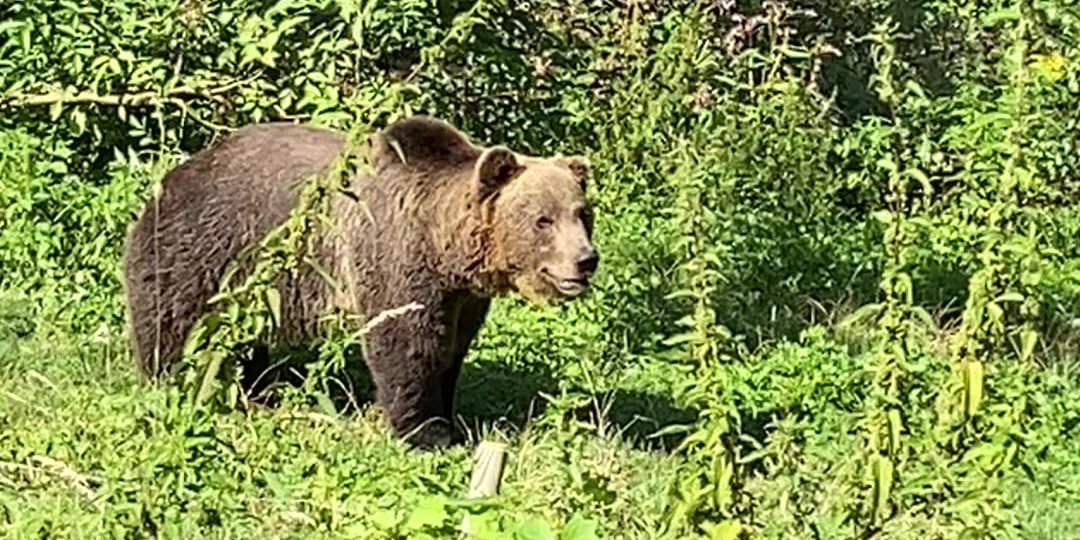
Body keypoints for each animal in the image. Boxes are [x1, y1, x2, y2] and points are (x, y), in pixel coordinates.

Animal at [122, 115, 599, 448]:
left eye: (582, 212)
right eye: (543, 219)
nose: (585, 260)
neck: (444, 246)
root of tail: (172, 175)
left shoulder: (462, 298)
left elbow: (450, 351)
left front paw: (450, 417)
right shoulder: (394, 257)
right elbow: (405, 343)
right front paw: (425, 432)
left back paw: (257, 390)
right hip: (204, 247)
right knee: (172, 322)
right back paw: (169, 383)